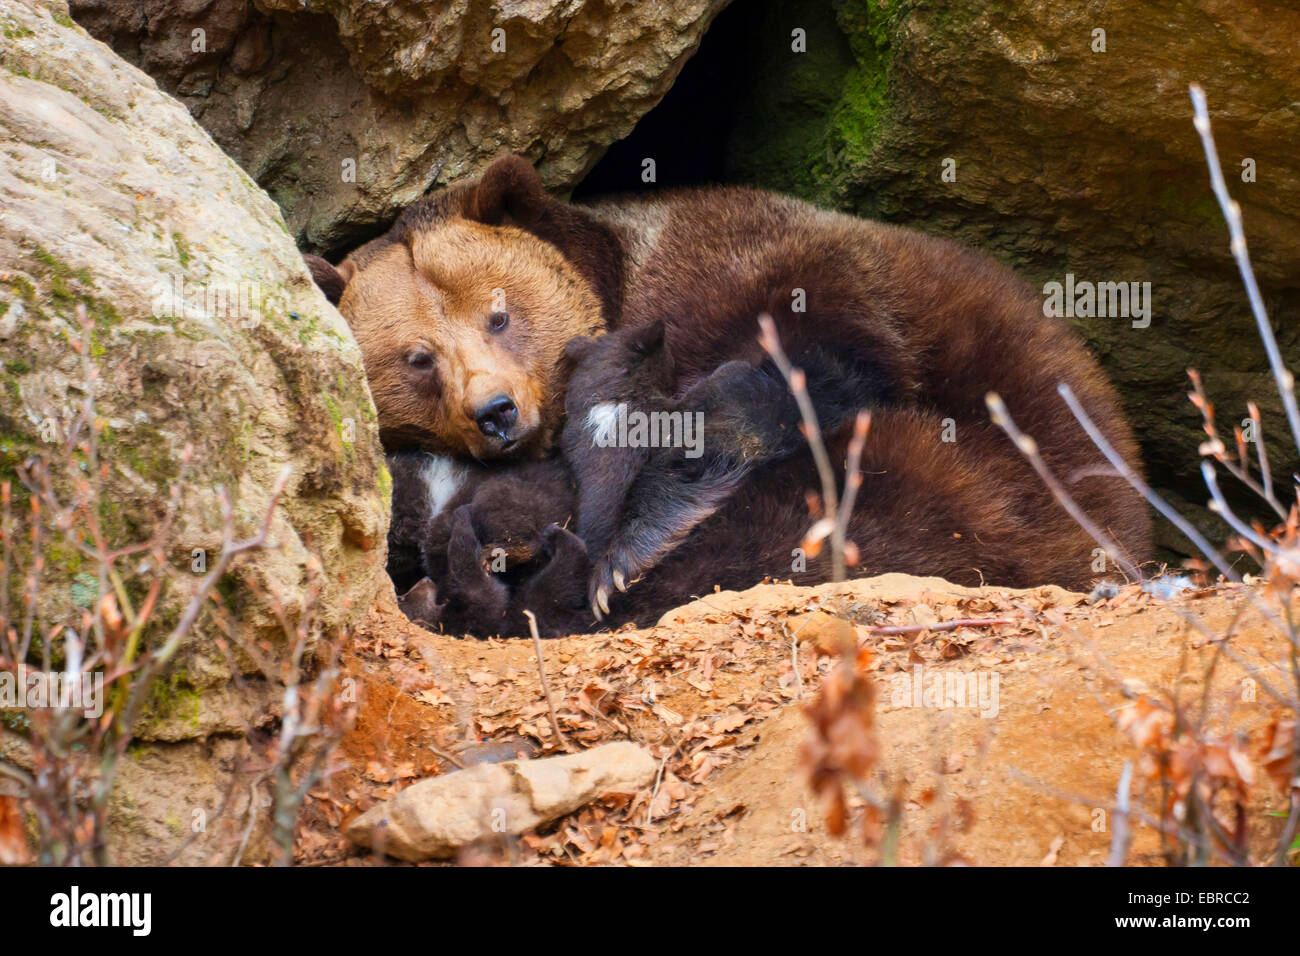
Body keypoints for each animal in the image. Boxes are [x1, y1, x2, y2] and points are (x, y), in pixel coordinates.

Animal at [306, 153, 1159, 624]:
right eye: (417, 358)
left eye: (499, 314)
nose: (496, 411)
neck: (621, 282)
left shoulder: (751, 267)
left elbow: (804, 364)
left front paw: (632, 543)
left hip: (1016, 475)